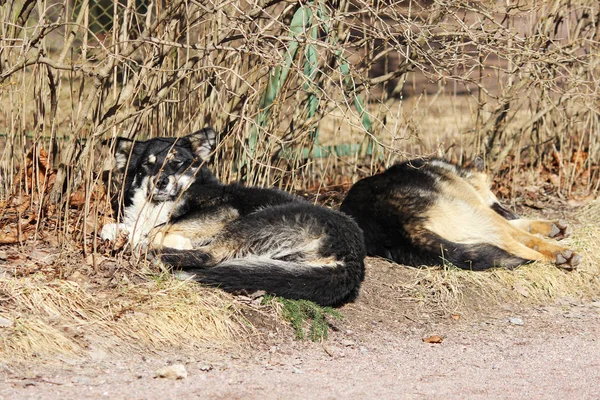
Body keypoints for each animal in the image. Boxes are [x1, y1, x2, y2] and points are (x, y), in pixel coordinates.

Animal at [101, 128, 366, 306]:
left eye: (177, 162)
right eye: (147, 165)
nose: (160, 182)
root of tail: (353, 259)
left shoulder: (222, 212)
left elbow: (157, 229)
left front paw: (151, 239)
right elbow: (121, 227)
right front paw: (118, 233)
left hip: (254, 221)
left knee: (208, 256)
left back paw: (154, 253)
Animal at [340, 159, 580, 272]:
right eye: (498, 203)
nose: (509, 211)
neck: (458, 173)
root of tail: (394, 227)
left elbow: (520, 224)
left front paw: (551, 226)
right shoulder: (482, 208)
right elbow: (518, 229)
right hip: (474, 214)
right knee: (516, 244)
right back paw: (557, 255)